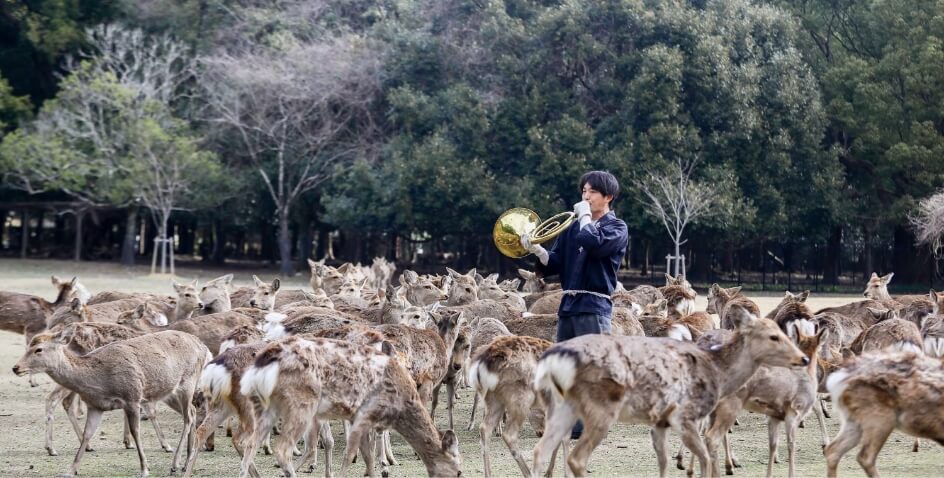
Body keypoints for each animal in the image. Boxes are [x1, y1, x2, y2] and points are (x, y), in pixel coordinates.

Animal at [13, 329, 211, 477]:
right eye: (28, 346)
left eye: (38, 349)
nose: (16, 367)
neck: (100, 382)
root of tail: (204, 346)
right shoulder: (95, 406)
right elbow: (87, 435)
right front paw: (70, 470)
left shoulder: (132, 397)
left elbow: (136, 432)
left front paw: (144, 469)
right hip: (171, 391)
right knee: (192, 412)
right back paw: (186, 461)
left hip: (188, 381)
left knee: (188, 416)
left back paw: (175, 464)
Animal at [238, 336, 463, 478]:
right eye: (460, 471)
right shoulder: (364, 414)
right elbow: (349, 454)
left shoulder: (360, 419)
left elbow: (368, 458)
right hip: (301, 405)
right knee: (283, 449)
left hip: (268, 406)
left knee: (250, 443)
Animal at [529, 314, 809, 478]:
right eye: (774, 336)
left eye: (782, 332)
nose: (803, 358)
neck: (719, 373)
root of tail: (553, 362)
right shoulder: (684, 416)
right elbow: (705, 457)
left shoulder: (660, 422)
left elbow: (663, 462)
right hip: (601, 408)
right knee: (577, 458)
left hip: (561, 407)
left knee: (539, 450)